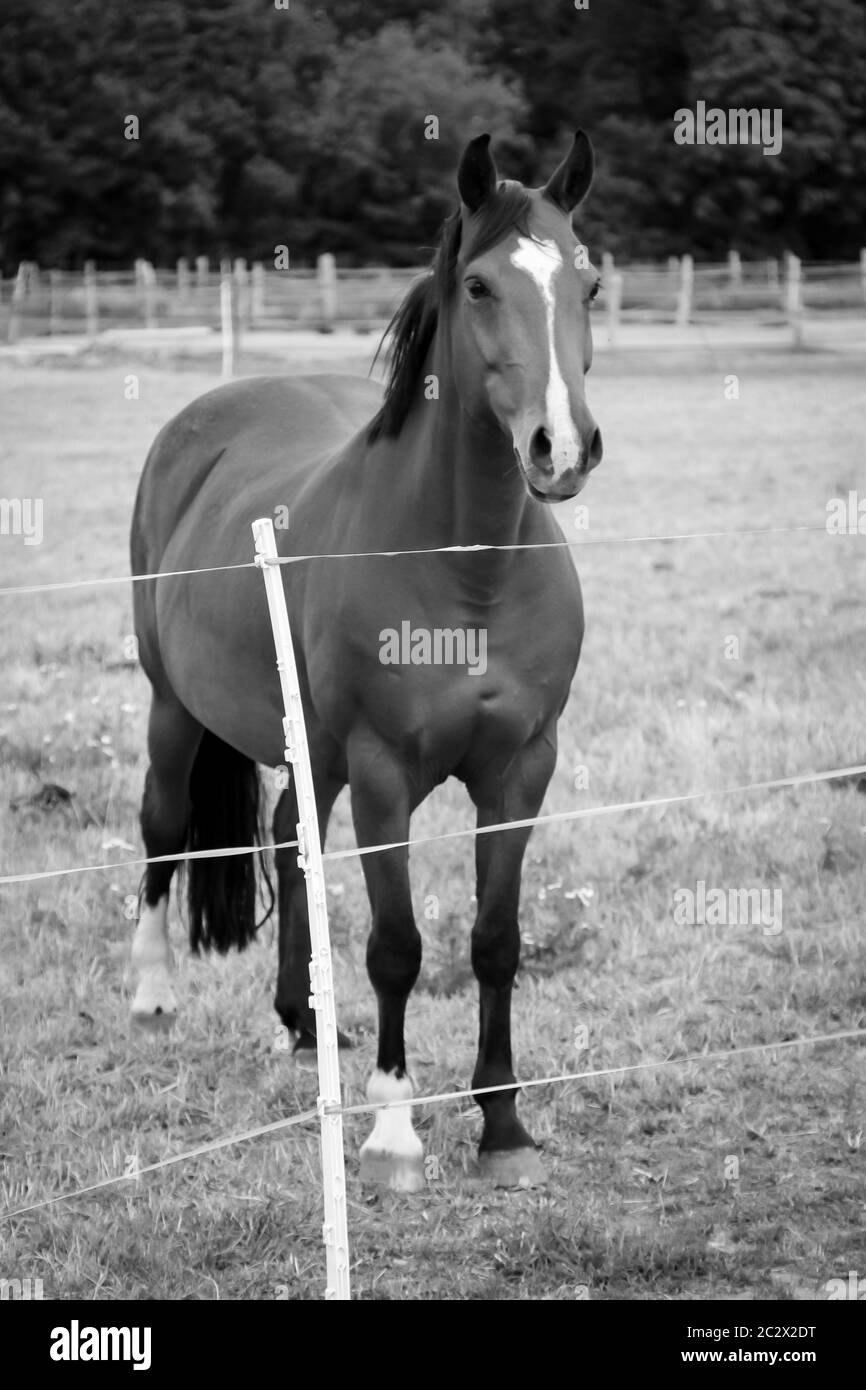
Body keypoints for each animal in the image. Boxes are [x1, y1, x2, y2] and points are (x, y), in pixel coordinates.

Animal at [129, 130, 603, 1191]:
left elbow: (495, 941)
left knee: (288, 843)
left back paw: (304, 1025)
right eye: (478, 285)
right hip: (173, 708)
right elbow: (397, 947)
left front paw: (504, 1128)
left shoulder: (522, 769)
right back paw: (150, 995)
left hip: (314, 750)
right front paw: (393, 1135)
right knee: (164, 830)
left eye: (589, 283)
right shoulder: (386, 774)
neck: (466, 573)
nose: (560, 448)